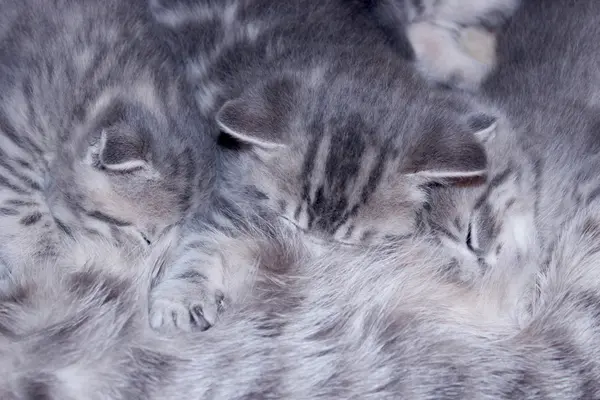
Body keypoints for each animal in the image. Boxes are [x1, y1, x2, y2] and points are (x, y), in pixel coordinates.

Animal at [148, 0, 500, 332]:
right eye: (290, 221)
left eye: (349, 241)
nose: (304, 260)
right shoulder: (232, 183)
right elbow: (204, 237)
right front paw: (180, 297)